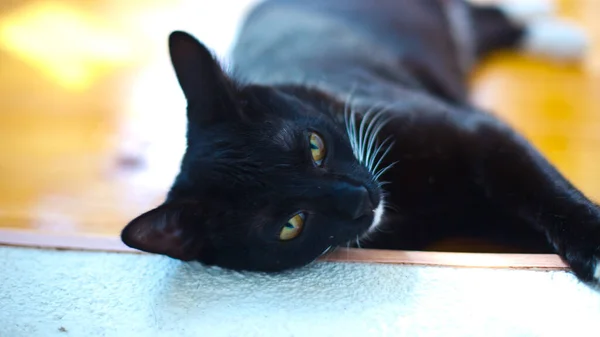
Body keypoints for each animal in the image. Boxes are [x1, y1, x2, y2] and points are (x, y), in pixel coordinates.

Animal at [119, 0, 596, 286]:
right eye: (291, 225)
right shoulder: (474, 214)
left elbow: (543, 188)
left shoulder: (481, 131)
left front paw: (593, 240)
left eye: (315, 146)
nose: (358, 198)